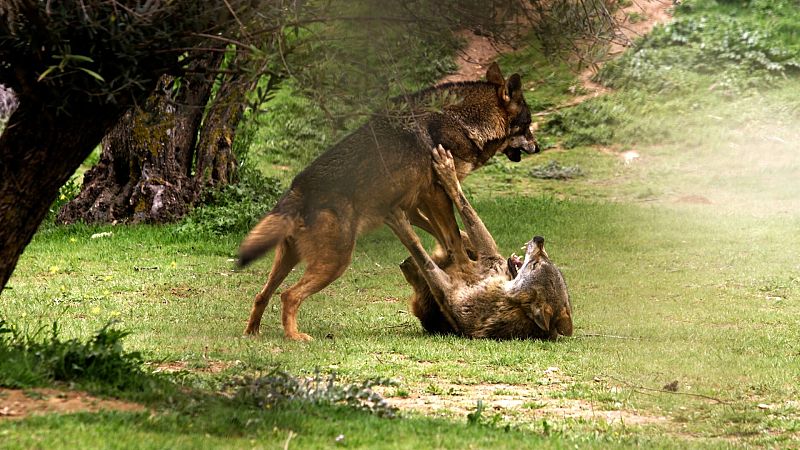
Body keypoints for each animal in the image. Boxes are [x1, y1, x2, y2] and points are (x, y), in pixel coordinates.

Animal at [238, 63, 537, 341]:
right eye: (527, 125)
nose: (537, 147)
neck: (461, 121)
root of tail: (298, 189)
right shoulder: (435, 192)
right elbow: (451, 234)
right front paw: (467, 268)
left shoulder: (414, 201)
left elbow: (449, 234)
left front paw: (463, 250)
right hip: (335, 263)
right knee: (288, 296)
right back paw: (295, 337)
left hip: (289, 261)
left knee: (262, 295)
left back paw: (252, 333)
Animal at [386, 145, 573, 340]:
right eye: (546, 257)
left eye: (535, 266)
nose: (539, 239)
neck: (505, 296)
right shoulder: (490, 256)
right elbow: (463, 206)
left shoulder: (447, 286)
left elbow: (419, 251)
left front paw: (397, 220)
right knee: (451, 232)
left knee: (450, 241)